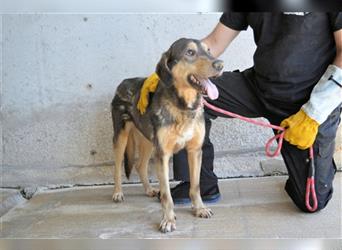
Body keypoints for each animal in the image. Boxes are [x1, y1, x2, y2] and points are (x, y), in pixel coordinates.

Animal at [111, 37, 224, 232]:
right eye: (190, 52)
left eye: (209, 50)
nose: (220, 64)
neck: (183, 106)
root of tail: (123, 82)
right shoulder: (163, 154)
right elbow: (166, 195)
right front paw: (168, 220)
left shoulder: (194, 151)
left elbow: (195, 186)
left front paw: (199, 208)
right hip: (121, 137)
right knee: (118, 166)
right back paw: (118, 192)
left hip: (148, 141)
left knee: (140, 165)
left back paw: (148, 190)